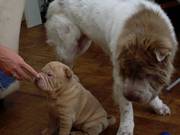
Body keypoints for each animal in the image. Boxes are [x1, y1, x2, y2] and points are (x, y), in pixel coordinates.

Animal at [44, 0, 177, 134]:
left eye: (145, 74)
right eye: (124, 72)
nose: (130, 96)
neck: (144, 30)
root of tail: (52, 3)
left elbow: (150, 91)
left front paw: (158, 106)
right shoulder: (119, 78)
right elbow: (127, 108)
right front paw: (125, 129)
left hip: (83, 43)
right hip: (68, 46)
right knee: (61, 62)